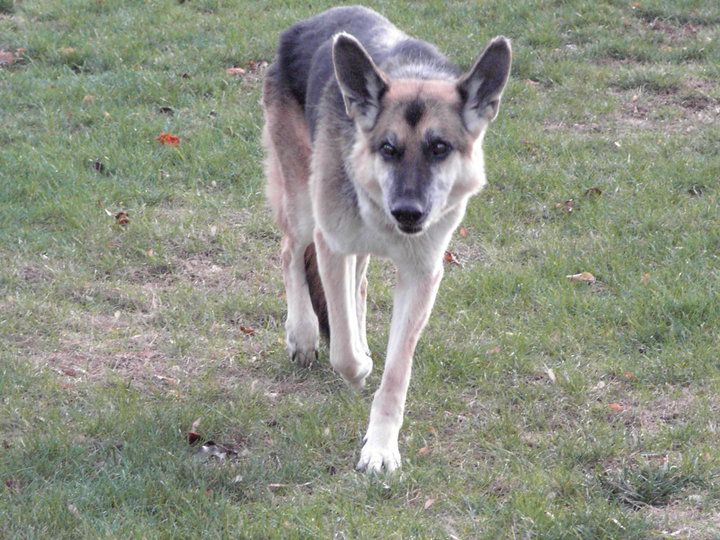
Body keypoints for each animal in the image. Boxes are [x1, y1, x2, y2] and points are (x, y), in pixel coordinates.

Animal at [264, 7, 512, 472]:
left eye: (439, 148)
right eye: (388, 149)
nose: (408, 213)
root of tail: (305, 23)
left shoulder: (422, 275)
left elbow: (397, 372)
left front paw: (380, 448)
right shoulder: (331, 246)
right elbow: (343, 352)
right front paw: (358, 364)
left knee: (357, 286)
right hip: (304, 205)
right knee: (290, 252)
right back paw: (303, 335)